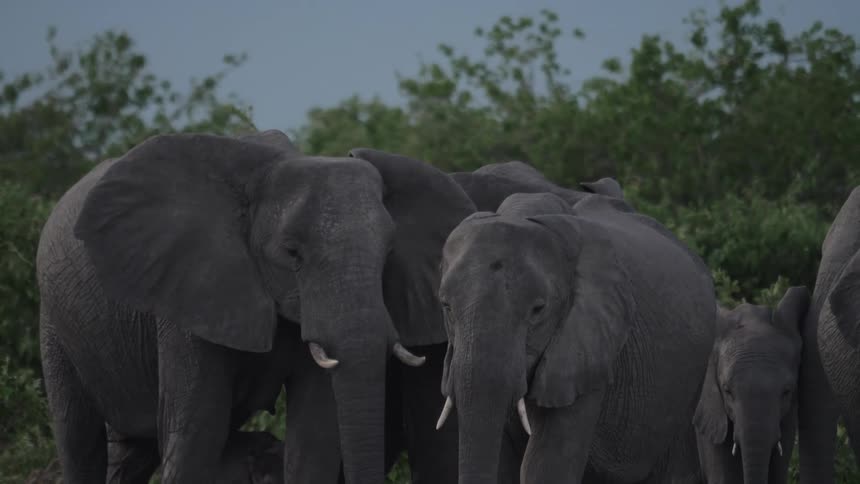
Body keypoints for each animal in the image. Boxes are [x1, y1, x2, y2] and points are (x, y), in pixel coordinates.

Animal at [36, 130, 474, 483]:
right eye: (292, 253)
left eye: (389, 253)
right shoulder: (192, 293)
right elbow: (195, 430)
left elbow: (314, 435)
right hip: (54, 322)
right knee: (79, 439)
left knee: (128, 453)